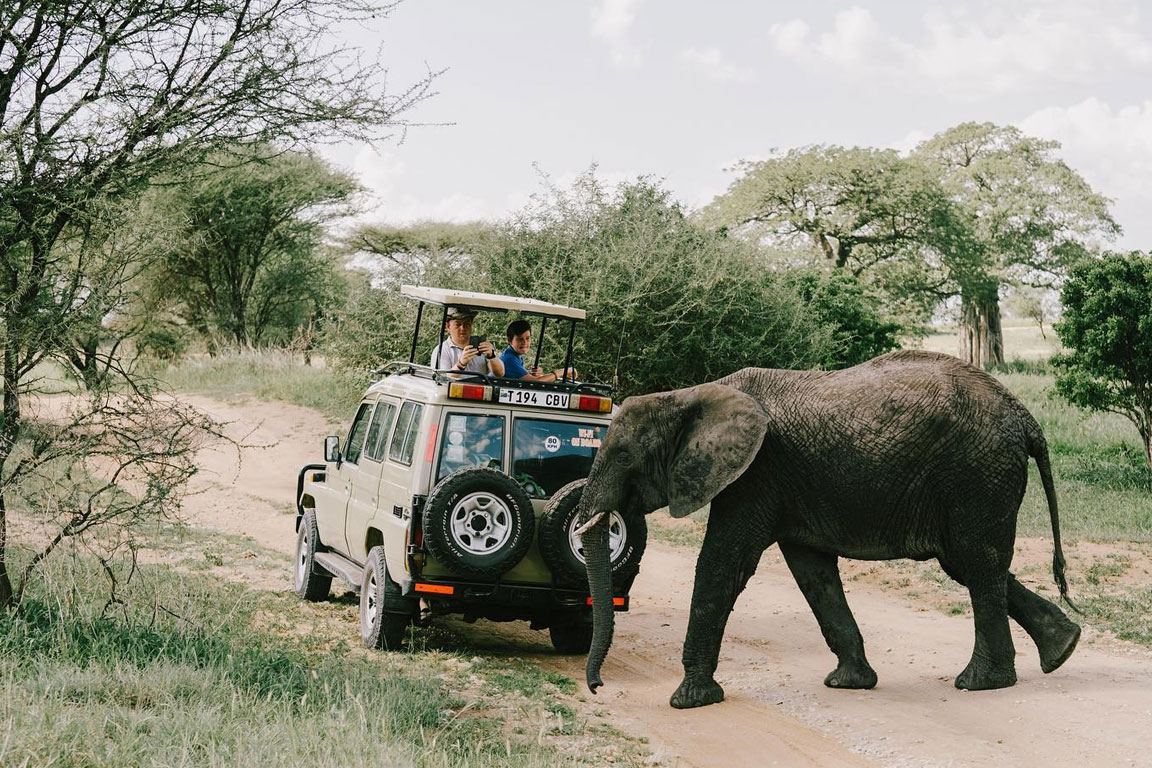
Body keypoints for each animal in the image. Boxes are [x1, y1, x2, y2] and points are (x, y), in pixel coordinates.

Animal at [578, 350, 1082, 709]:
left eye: (622, 456)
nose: (598, 686)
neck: (687, 395)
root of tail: (1025, 417)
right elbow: (812, 572)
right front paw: (850, 684)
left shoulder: (756, 473)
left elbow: (723, 565)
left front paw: (688, 701)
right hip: (979, 479)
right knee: (971, 563)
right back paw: (1063, 650)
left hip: (976, 474)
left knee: (976, 563)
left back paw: (980, 684)